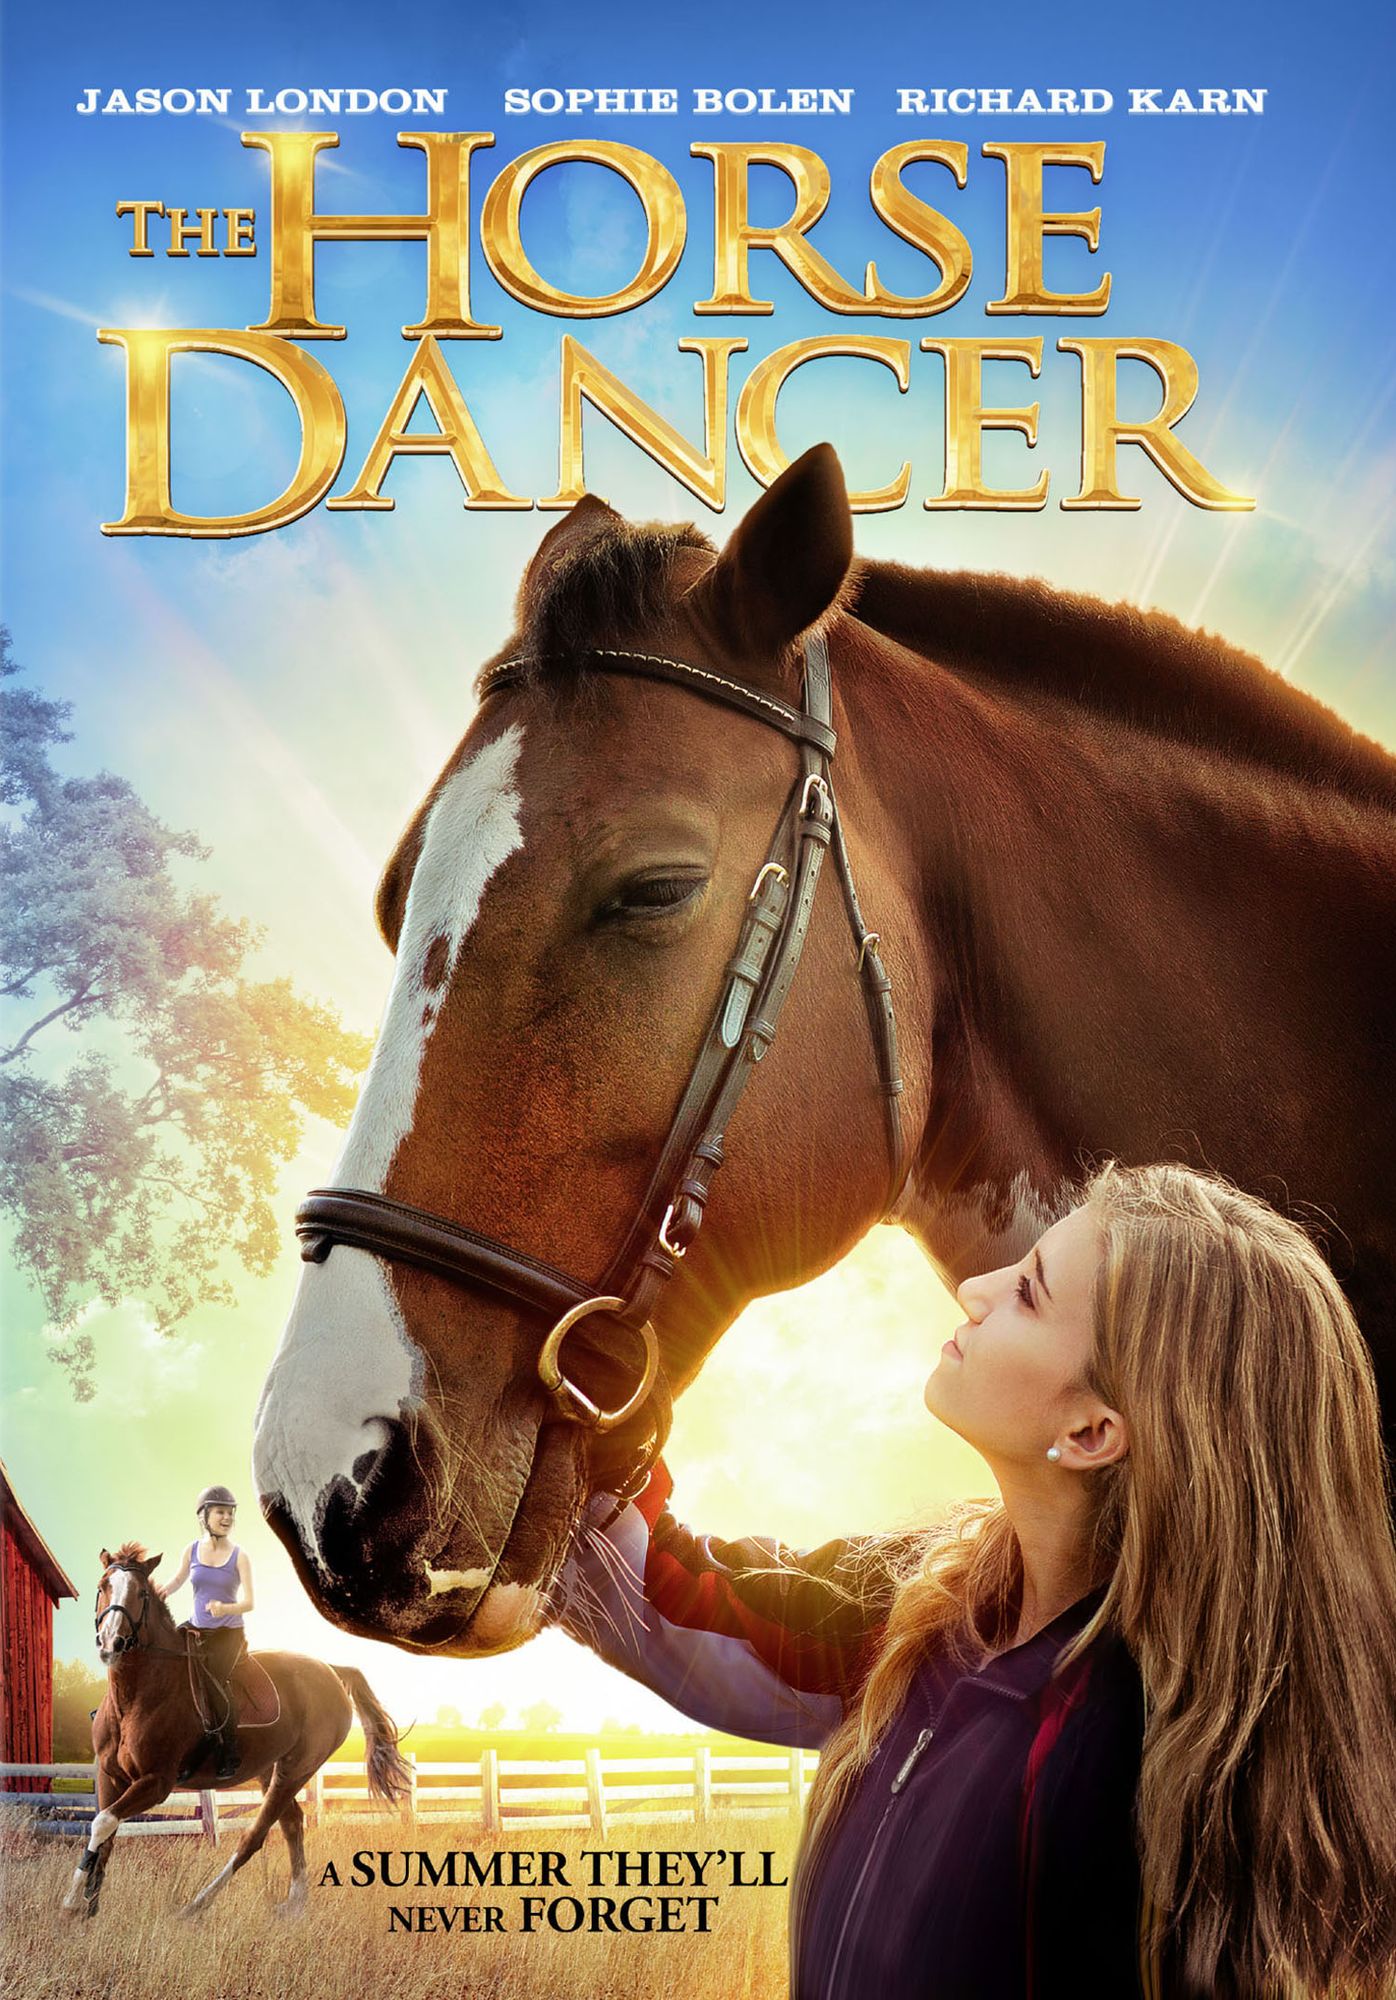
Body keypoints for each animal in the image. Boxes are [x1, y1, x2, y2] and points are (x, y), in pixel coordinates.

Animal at [62, 1544, 410, 1920]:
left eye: (141, 1593)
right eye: (103, 1586)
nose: (111, 1642)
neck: (135, 1695)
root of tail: (331, 1670)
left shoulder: (156, 1782)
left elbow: (102, 1823)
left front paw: (70, 1903)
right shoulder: (110, 1774)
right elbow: (106, 1832)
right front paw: (89, 1906)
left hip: (297, 1768)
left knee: (255, 1837)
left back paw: (197, 1905)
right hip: (270, 1769)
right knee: (292, 1823)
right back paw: (294, 1904)